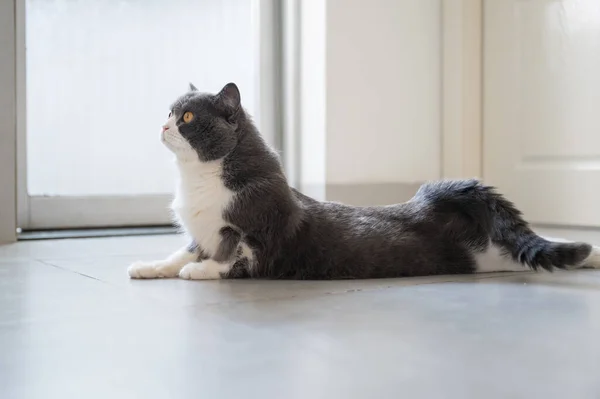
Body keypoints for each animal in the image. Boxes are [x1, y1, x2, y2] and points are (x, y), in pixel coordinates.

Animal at [127, 83, 600, 280]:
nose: (163, 125)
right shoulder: (199, 232)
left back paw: (588, 254)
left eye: (188, 117)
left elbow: (231, 257)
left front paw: (200, 271)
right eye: (170, 111)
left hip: (480, 257)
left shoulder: (255, 231)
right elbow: (180, 250)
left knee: (520, 253)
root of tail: (430, 200)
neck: (197, 180)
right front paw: (150, 266)